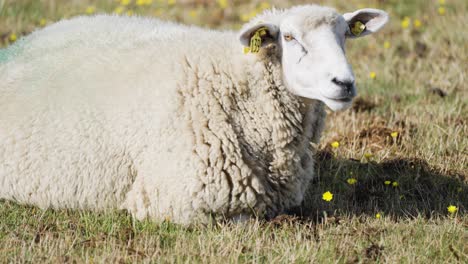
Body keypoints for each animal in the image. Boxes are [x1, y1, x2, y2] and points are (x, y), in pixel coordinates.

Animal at [0, 5, 388, 224]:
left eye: (345, 35)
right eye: (290, 38)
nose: (344, 83)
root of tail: (22, 43)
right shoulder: (172, 202)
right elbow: (245, 220)